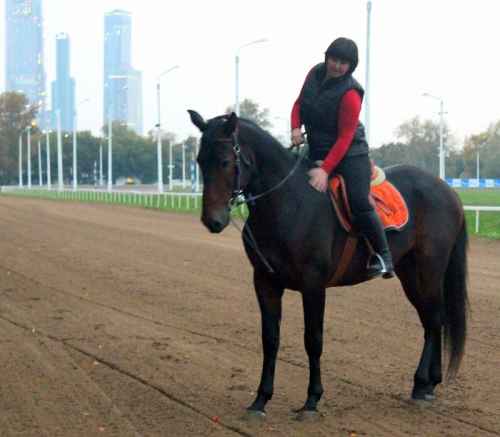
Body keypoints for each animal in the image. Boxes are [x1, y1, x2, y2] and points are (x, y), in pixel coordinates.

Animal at [188, 110, 468, 418]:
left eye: (225, 161)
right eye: (199, 160)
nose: (212, 220)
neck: (288, 203)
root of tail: (447, 190)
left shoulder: (313, 285)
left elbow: (313, 339)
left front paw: (312, 399)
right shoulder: (265, 282)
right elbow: (270, 339)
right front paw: (261, 400)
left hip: (429, 270)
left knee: (435, 319)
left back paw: (423, 384)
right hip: (410, 274)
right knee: (431, 320)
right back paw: (427, 384)